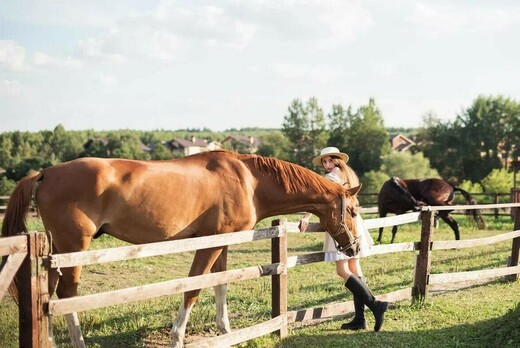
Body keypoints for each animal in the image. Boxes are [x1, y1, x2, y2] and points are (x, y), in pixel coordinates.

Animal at [1, 150, 362, 348]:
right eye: (354, 210)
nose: (354, 246)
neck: (250, 181)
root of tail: (46, 173)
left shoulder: (222, 241)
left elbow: (219, 284)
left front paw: (226, 330)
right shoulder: (208, 243)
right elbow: (194, 288)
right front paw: (177, 335)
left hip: (58, 250)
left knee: (48, 294)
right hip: (74, 246)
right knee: (66, 294)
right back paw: (78, 342)